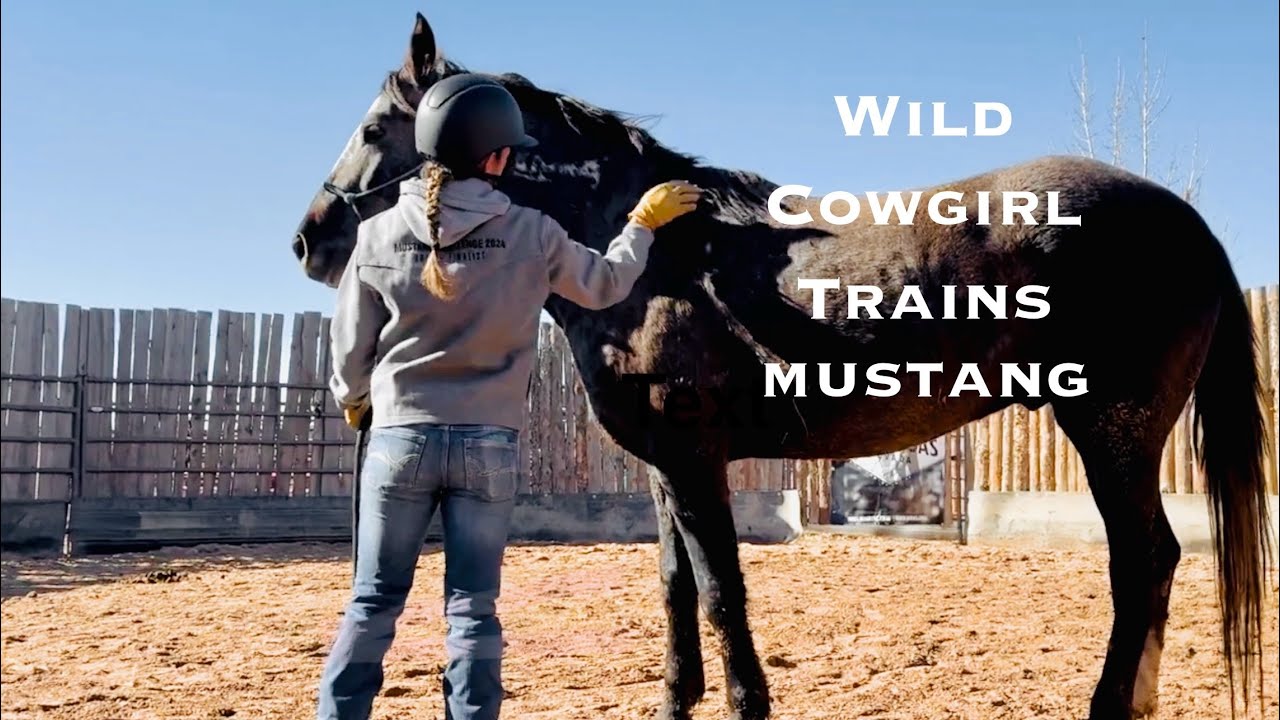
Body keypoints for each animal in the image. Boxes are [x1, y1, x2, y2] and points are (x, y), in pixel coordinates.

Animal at [290, 12, 1273, 720]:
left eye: (377, 127)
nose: (310, 240)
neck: (659, 261)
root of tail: (1182, 220)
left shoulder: (695, 463)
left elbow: (722, 592)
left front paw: (745, 703)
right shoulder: (667, 471)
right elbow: (676, 589)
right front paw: (677, 700)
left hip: (1113, 430)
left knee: (1142, 561)